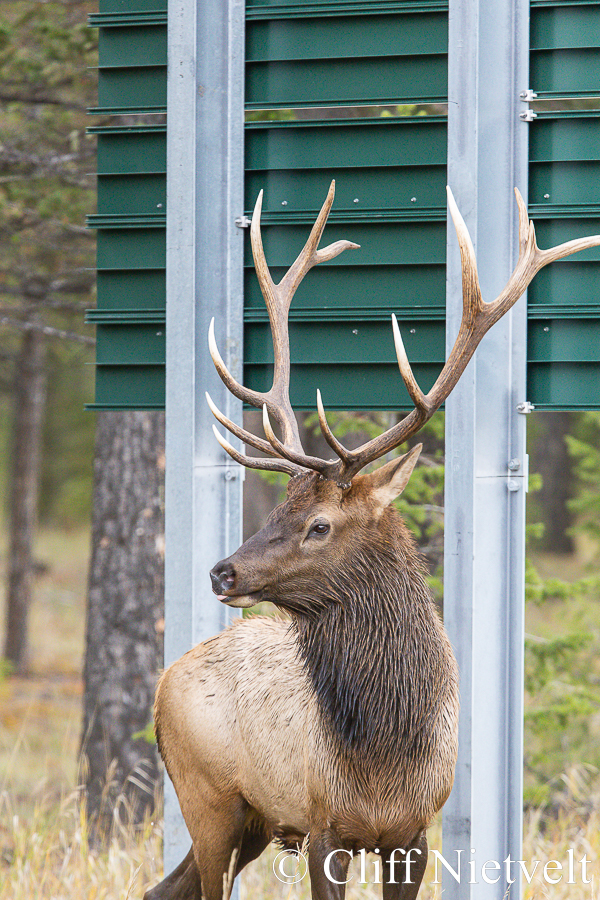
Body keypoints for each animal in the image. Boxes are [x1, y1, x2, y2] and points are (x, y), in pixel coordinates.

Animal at [145, 182, 600, 900]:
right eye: (283, 505)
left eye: (318, 523)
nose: (223, 573)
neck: (388, 754)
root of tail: (163, 686)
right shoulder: (323, 826)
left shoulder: (413, 832)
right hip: (209, 799)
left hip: (250, 820)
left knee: (163, 888)